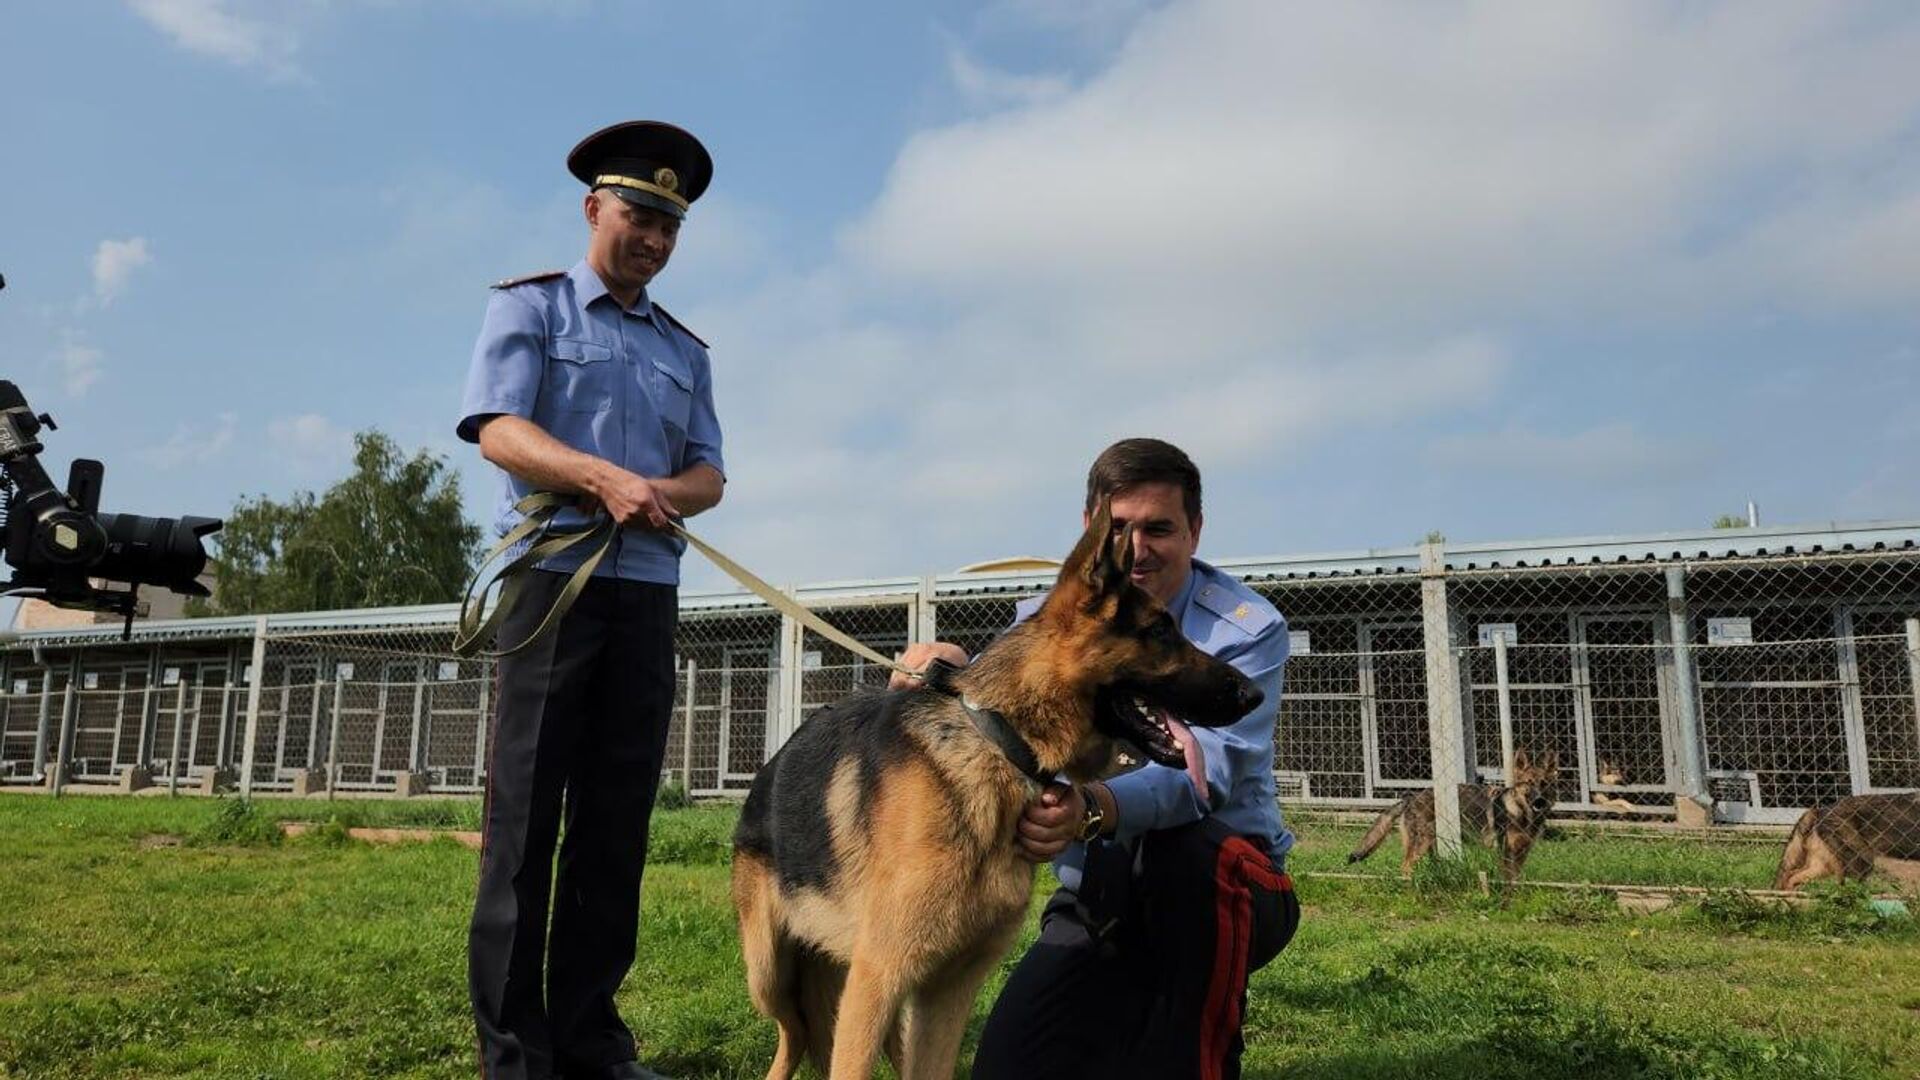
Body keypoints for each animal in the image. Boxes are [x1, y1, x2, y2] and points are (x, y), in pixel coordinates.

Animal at [729, 503, 1259, 1076]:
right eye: (1160, 631)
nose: (1255, 694)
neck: (1000, 746)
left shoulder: (944, 993)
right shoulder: (879, 980)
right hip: (770, 973)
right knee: (795, 1031)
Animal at [1351, 745, 1559, 887]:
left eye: (1544, 783)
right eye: (1529, 783)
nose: (1539, 801)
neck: (1521, 811)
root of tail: (1411, 797)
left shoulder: (1521, 854)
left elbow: (1516, 879)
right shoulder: (1505, 853)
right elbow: (1508, 879)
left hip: (1430, 846)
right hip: (1421, 845)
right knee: (1405, 868)